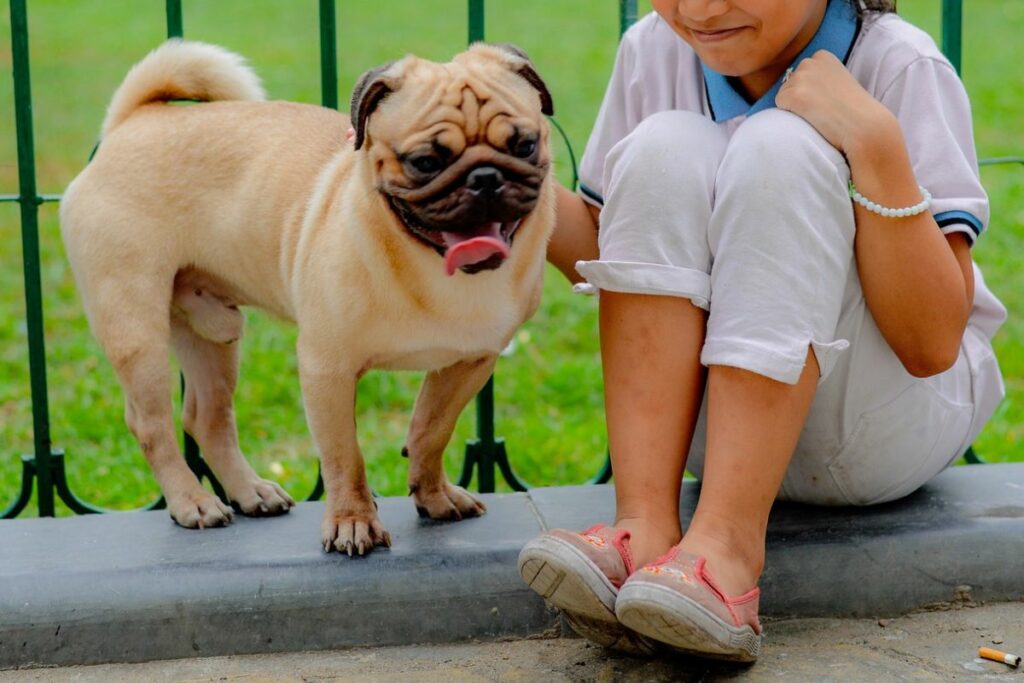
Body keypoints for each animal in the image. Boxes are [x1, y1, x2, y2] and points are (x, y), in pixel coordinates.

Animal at [59, 40, 557, 557]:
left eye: (524, 145)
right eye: (425, 162)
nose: (485, 177)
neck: (434, 267)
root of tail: (132, 121)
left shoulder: (468, 363)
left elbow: (430, 431)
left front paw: (435, 496)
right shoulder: (327, 369)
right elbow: (343, 457)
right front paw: (352, 523)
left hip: (210, 335)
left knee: (207, 418)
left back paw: (250, 492)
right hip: (137, 331)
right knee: (151, 423)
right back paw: (191, 501)